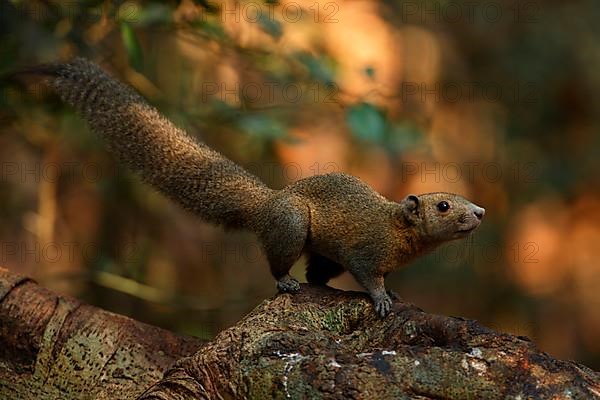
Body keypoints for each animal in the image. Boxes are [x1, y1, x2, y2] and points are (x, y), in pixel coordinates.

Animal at [11, 57, 486, 318]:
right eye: (444, 206)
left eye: (465, 201)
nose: (480, 212)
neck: (398, 235)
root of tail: (268, 202)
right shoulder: (365, 251)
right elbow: (370, 277)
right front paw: (383, 299)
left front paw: (395, 293)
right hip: (292, 225)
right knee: (283, 267)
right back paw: (287, 284)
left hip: (319, 250)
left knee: (317, 274)